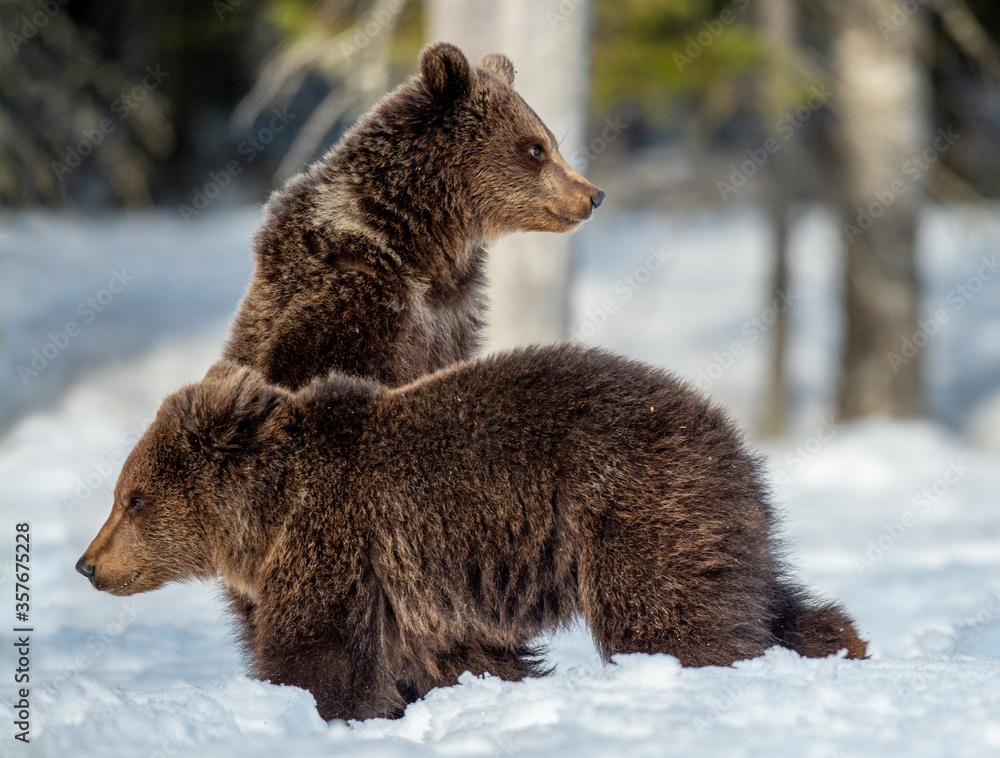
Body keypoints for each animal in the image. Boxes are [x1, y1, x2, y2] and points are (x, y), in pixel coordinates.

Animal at [77, 344, 867, 722]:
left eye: (132, 498)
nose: (87, 563)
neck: (268, 514)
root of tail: (723, 428)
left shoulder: (338, 541)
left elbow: (319, 649)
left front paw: (309, 707)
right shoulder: (425, 585)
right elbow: (459, 655)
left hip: (629, 509)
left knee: (667, 616)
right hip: (713, 522)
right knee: (758, 595)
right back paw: (839, 644)